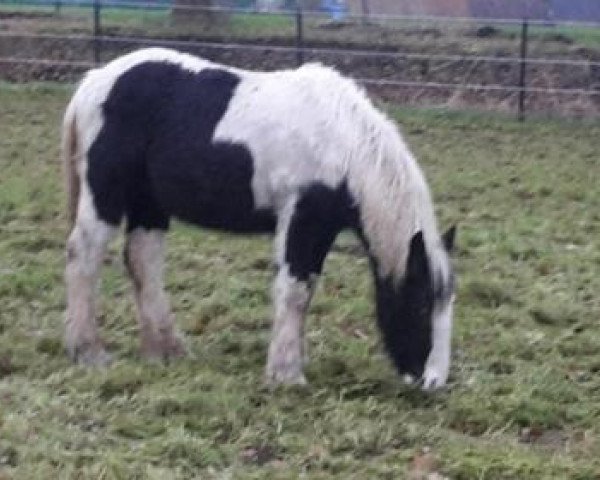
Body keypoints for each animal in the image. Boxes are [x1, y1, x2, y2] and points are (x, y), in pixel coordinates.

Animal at [63, 47, 454, 390]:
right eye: (421, 305)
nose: (433, 382)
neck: (343, 143)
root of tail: (93, 82)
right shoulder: (303, 218)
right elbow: (295, 290)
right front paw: (286, 374)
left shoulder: (320, 225)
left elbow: (304, 289)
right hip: (106, 194)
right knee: (84, 255)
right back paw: (88, 352)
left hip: (150, 203)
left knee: (143, 261)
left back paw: (166, 350)